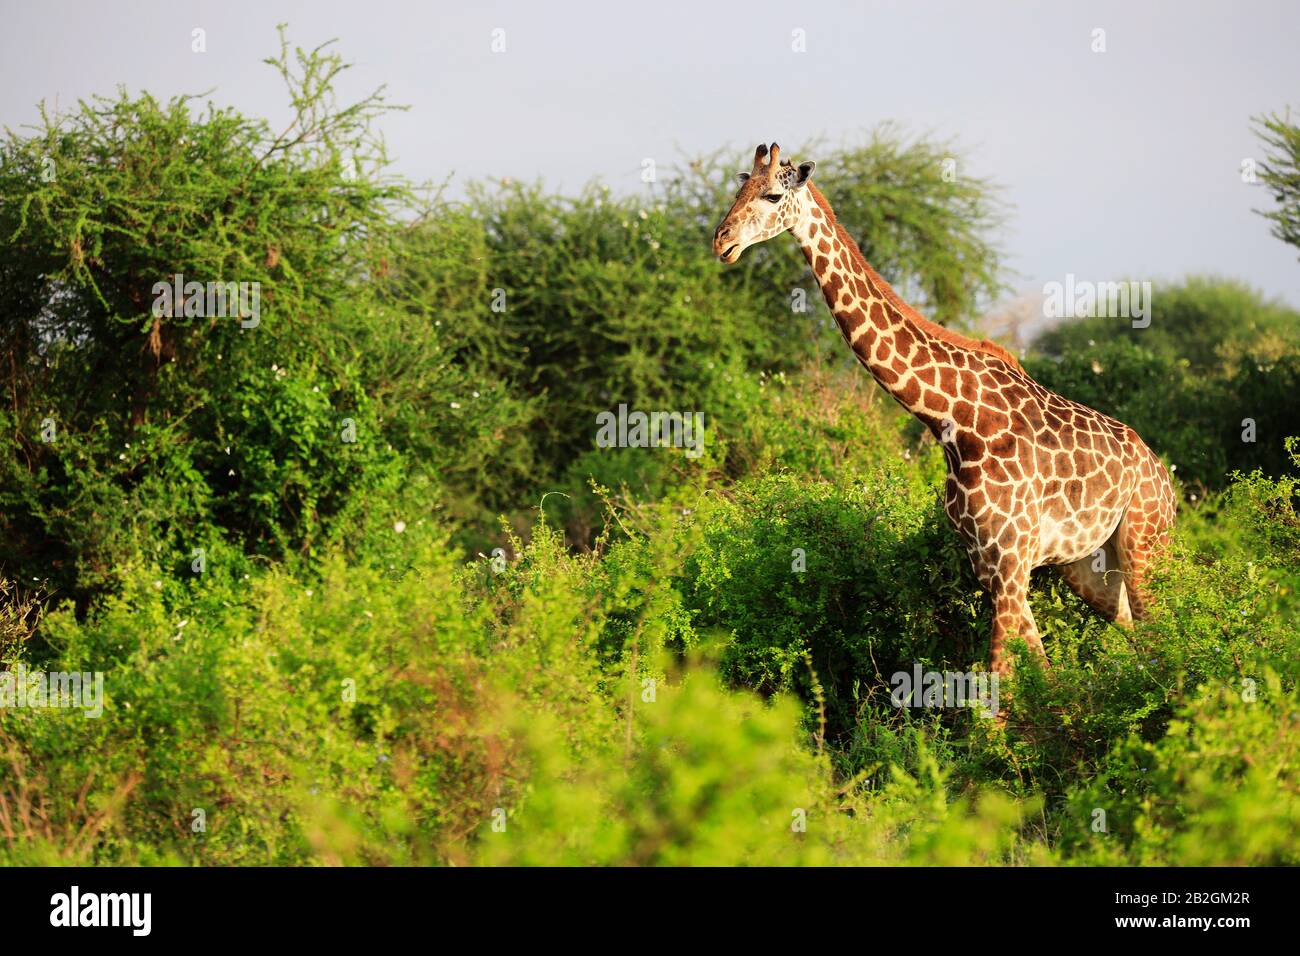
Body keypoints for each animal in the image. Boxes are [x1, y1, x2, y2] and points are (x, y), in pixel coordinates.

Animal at [713, 143, 1177, 676]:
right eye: (739, 190)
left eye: (772, 195)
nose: (721, 241)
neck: (950, 419)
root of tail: (1165, 478)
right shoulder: (991, 565)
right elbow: (1038, 673)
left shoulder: (1010, 560)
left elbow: (1002, 685)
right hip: (1086, 565)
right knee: (1131, 626)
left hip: (1145, 544)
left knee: (1162, 630)